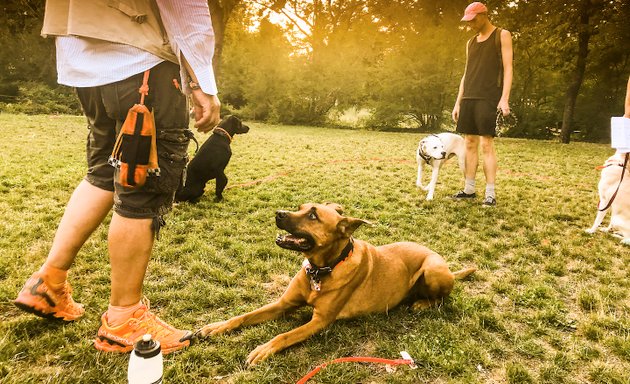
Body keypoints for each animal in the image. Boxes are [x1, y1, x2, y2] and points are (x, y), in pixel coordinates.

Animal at [200, 202, 476, 364]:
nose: (278, 213)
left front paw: (263, 349)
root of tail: (448, 268)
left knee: (442, 298)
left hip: (432, 270)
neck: (322, 269)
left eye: (313, 215)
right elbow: (243, 316)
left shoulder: (320, 321)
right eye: (300, 206)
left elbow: (284, 335)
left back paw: (421, 303)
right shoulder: (283, 303)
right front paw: (215, 327)